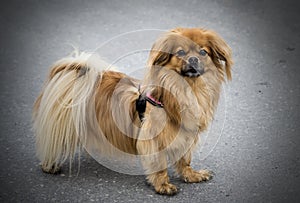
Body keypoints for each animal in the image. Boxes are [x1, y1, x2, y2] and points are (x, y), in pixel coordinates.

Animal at [34, 27, 233, 194]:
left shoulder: (186, 135)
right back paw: (50, 165)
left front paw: (191, 175)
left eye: (203, 52)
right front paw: (163, 185)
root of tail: (78, 74)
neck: (187, 88)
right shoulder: (153, 140)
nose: (193, 59)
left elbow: (185, 159)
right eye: (181, 53)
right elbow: (159, 164)